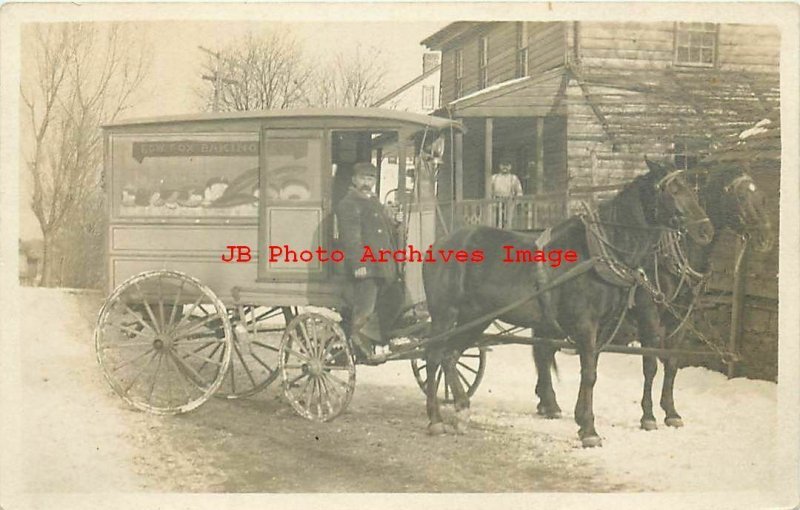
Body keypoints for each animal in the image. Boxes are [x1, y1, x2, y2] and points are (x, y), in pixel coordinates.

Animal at [424, 158, 712, 446]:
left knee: (451, 356)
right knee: (434, 356)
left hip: (475, 318)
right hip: (445, 316)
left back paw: (462, 409)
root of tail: (438, 244)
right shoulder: (591, 323)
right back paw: (435, 418)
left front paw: (583, 420)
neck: (598, 253)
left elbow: (595, 370)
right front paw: (591, 429)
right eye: (673, 189)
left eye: (690, 187)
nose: (705, 229)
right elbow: (593, 373)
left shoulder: (604, 326)